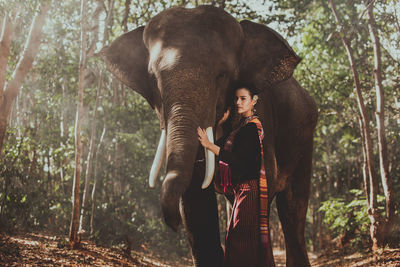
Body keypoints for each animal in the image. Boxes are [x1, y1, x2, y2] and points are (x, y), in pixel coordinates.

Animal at [98, 4, 318, 267]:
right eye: (153, 79)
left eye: (222, 76)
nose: (172, 225)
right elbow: (195, 200)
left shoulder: (263, 117)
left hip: (305, 137)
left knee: (293, 207)